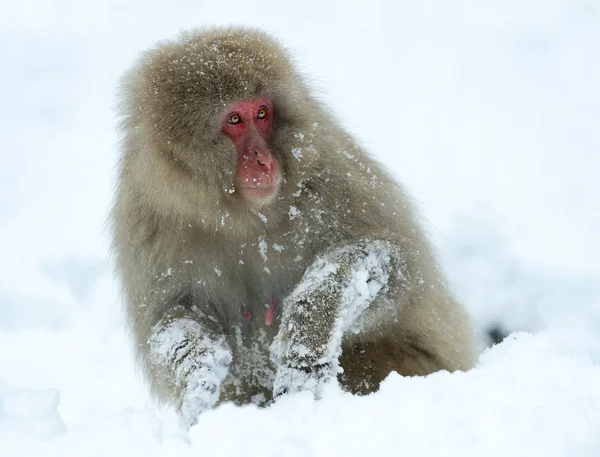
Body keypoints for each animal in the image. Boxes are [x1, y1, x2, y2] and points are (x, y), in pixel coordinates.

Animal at [111, 25, 478, 424]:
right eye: (234, 120)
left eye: (262, 112)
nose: (264, 160)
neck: (242, 217)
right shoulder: (147, 219)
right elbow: (169, 317)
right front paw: (199, 374)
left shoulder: (329, 175)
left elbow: (396, 267)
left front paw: (308, 337)